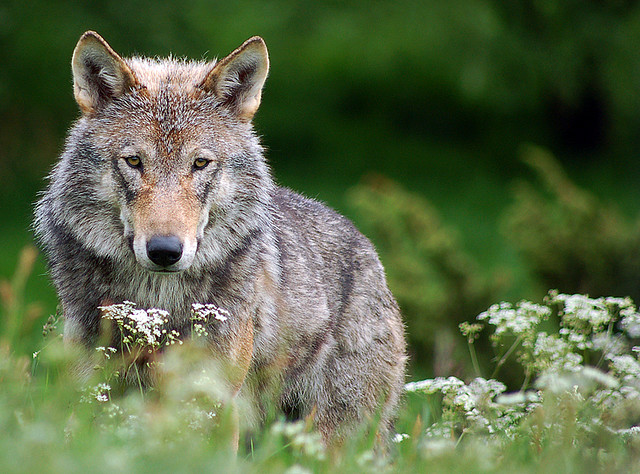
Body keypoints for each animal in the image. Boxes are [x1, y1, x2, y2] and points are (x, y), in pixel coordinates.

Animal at [33, 30, 404, 444]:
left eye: (200, 163)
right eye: (134, 161)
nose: (165, 251)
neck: (155, 303)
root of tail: (367, 249)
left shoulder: (214, 402)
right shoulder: (90, 392)